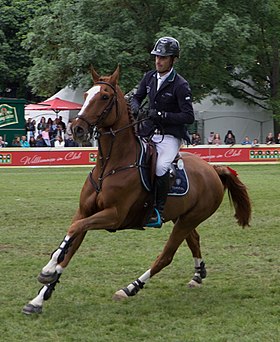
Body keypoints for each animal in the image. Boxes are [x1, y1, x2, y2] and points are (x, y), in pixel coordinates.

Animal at [23, 67, 252, 316]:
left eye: (104, 96)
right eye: (85, 95)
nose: (77, 129)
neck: (109, 166)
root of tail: (213, 169)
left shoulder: (113, 216)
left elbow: (73, 232)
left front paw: (47, 270)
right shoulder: (85, 212)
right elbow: (69, 245)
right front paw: (39, 297)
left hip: (190, 218)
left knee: (166, 256)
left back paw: (130, 288)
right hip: (182, 218)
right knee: (194, 240)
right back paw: (198, 275)